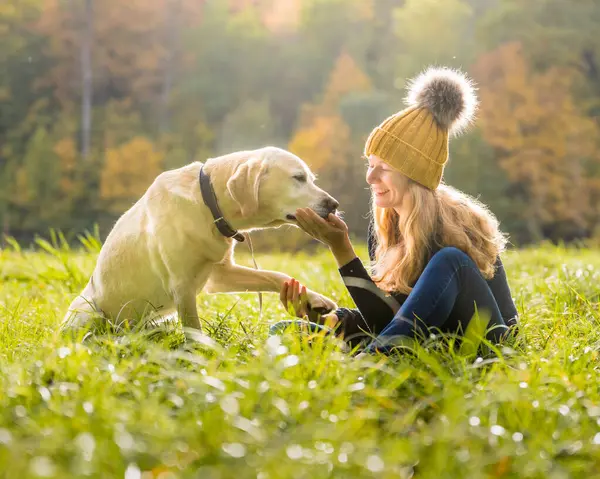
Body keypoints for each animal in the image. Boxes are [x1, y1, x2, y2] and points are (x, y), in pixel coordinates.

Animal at [63, 146, 342, 334]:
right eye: (298, 177)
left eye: (310, 178)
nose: (334, 204)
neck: (209, 204)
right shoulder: (182, 287)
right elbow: (194, 331)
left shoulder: (220, 275)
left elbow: (275, 275)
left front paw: (313, 300)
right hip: (89, 313)